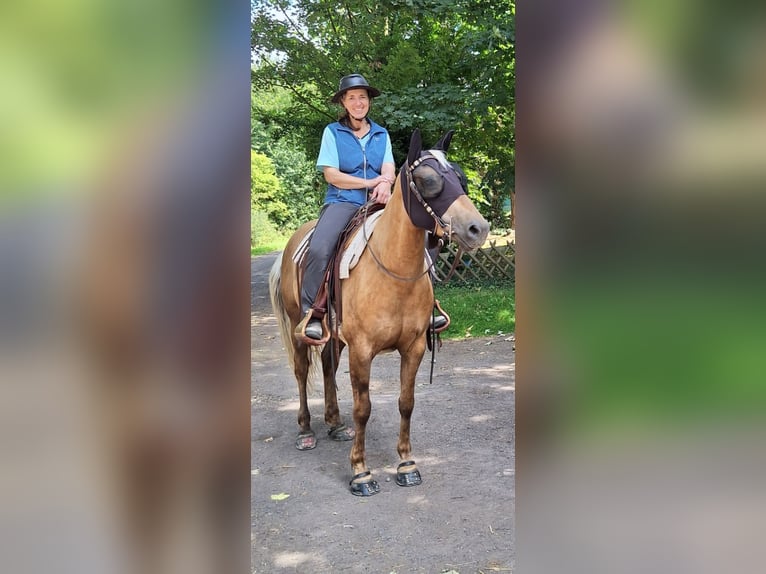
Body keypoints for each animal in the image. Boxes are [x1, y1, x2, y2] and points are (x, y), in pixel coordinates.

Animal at [269, 129, 490, 496]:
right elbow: (364, 408)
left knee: (328, 367)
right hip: (301, 332)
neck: (393, 270)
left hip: (334, 335)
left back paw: (334, 423)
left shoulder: (414, 348)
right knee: (302, 373)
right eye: (427, 180)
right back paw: (306, 431)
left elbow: (406, 403)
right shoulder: (362, 350)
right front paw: (361, 472)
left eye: (459, 176)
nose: (478, 229)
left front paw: (406, 464)